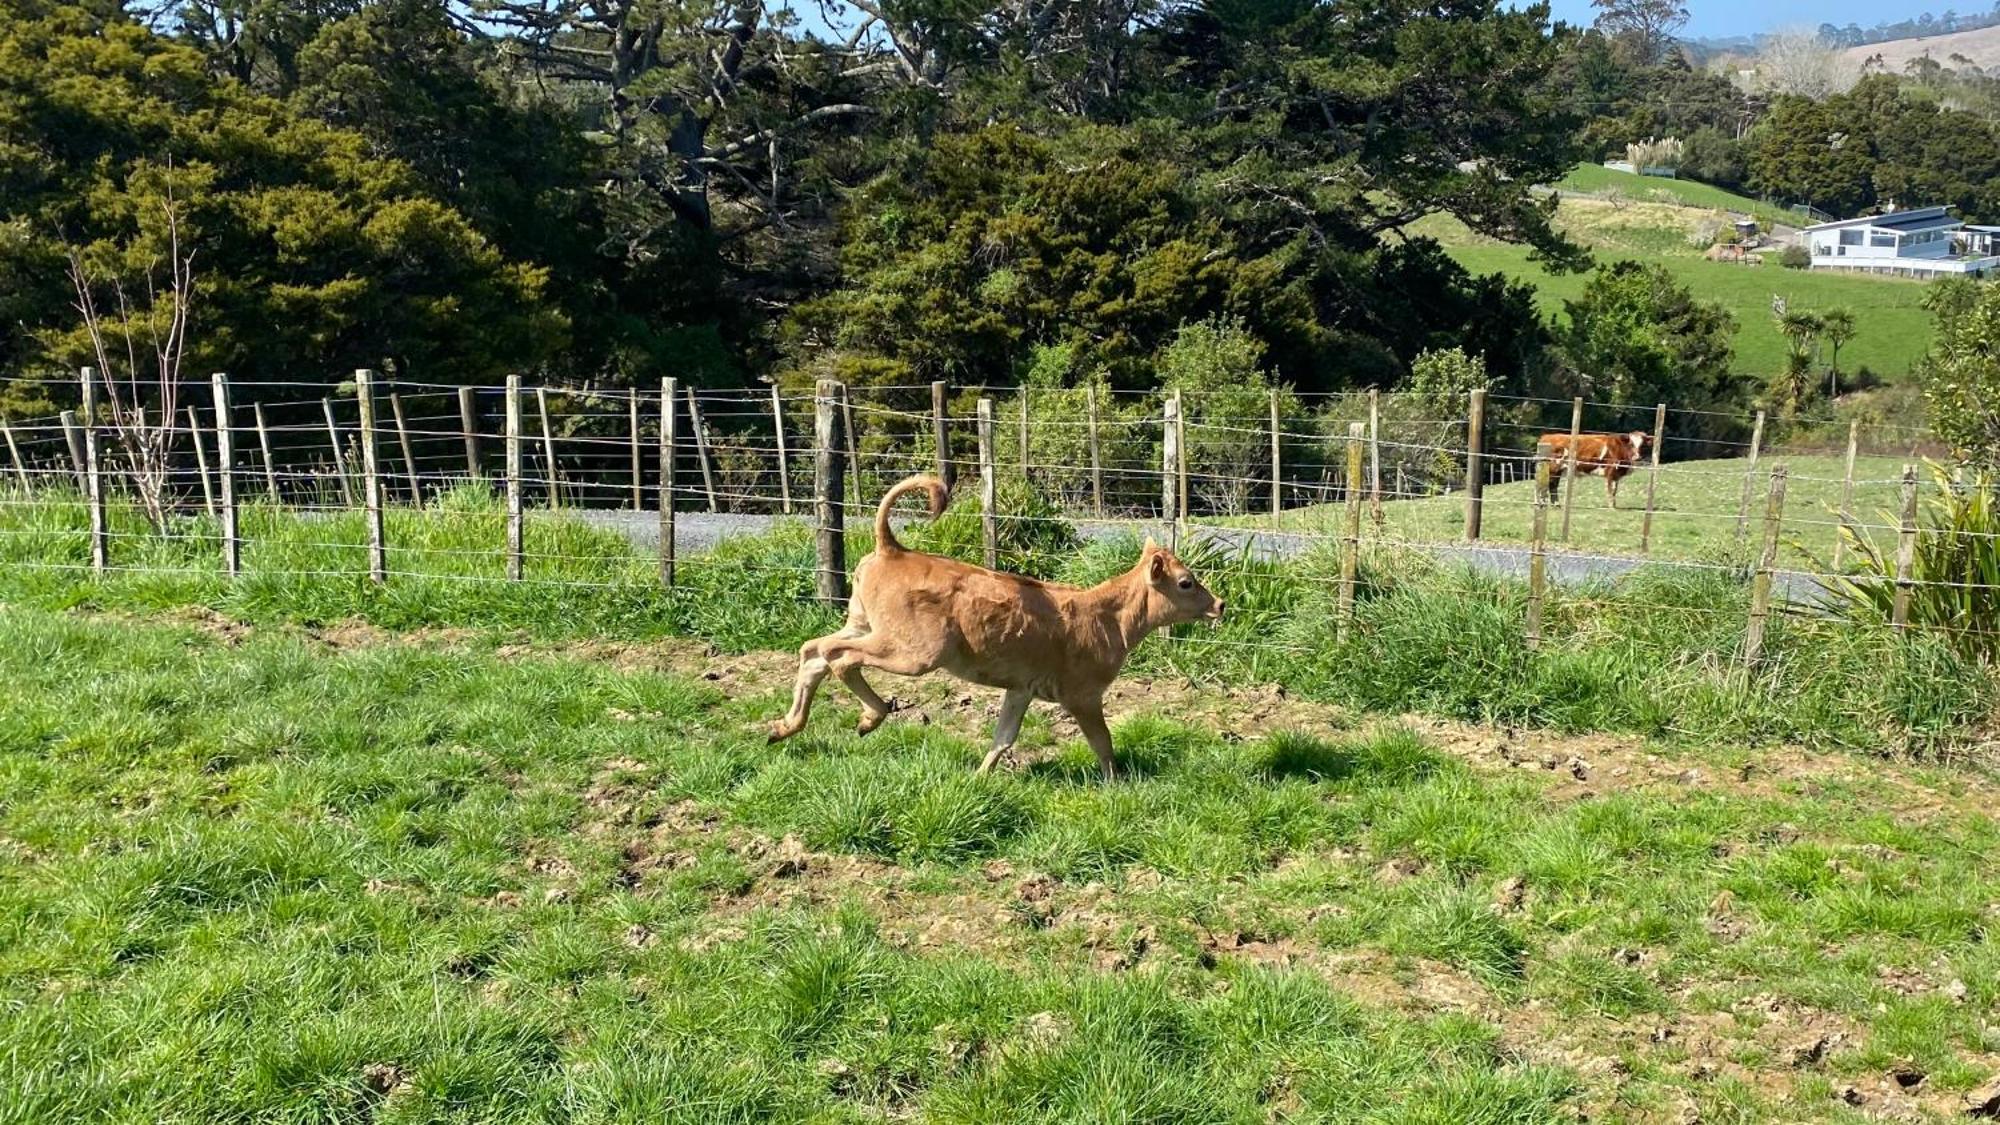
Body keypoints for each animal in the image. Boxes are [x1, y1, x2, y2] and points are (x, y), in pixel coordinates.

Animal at [764, 472, 1224, 780]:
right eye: (1186, 582)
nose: (1219, 604)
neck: (1107, 617)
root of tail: (890, 548)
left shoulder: (1021, 688)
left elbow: (1004, 736)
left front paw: (981, 776)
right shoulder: (1083, 695)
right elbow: (1103, 742)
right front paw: (1117, 784)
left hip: (864, 624)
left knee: (814, 651)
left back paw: (784, 728)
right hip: (912, 652)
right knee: (839, 658)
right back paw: (868, 717)